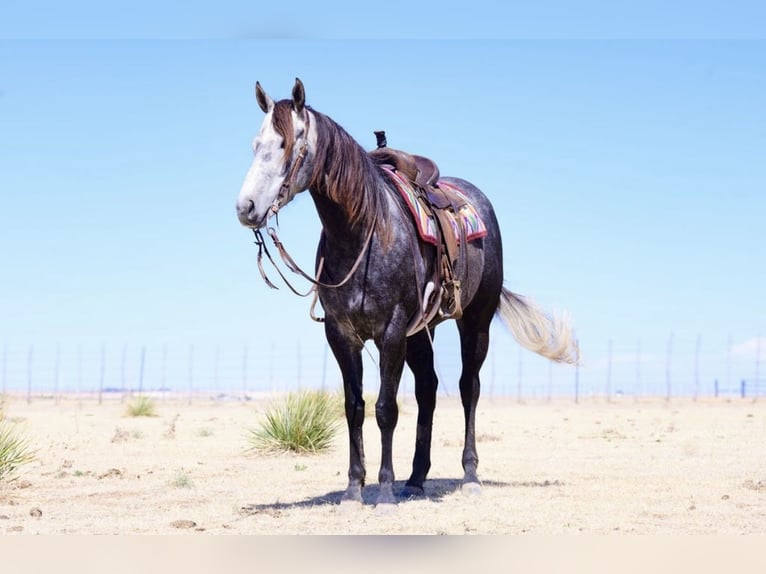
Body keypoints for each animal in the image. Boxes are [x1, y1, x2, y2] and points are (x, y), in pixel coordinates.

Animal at [236, 78, 578, 507]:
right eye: (255, 144)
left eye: (285, 144)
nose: (246, 207)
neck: (363, 232)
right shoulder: (341, 334)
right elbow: (354, 407)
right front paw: (354, 490)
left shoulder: (392, 331)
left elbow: (386, 408)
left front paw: (383, 491)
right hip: (420, 333)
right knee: (428, 387)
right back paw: (416, 478)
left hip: (474, 323)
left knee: (468, 388)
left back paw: (469, 476)